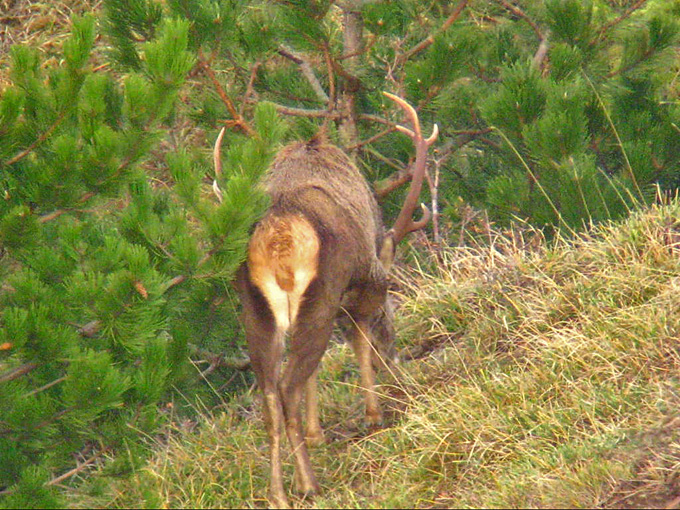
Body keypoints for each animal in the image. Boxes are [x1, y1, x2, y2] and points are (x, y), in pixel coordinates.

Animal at [231, 92, 438, 506]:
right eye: (389, 308)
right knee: (288, 386)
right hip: (322, 294)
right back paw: (309, 483)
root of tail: (278, 239)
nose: (393, 359)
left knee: (270, 396)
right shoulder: (366, 283)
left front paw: (317, 433)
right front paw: (374, 414)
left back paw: (280, 493)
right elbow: (357, 337)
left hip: (256, 311)